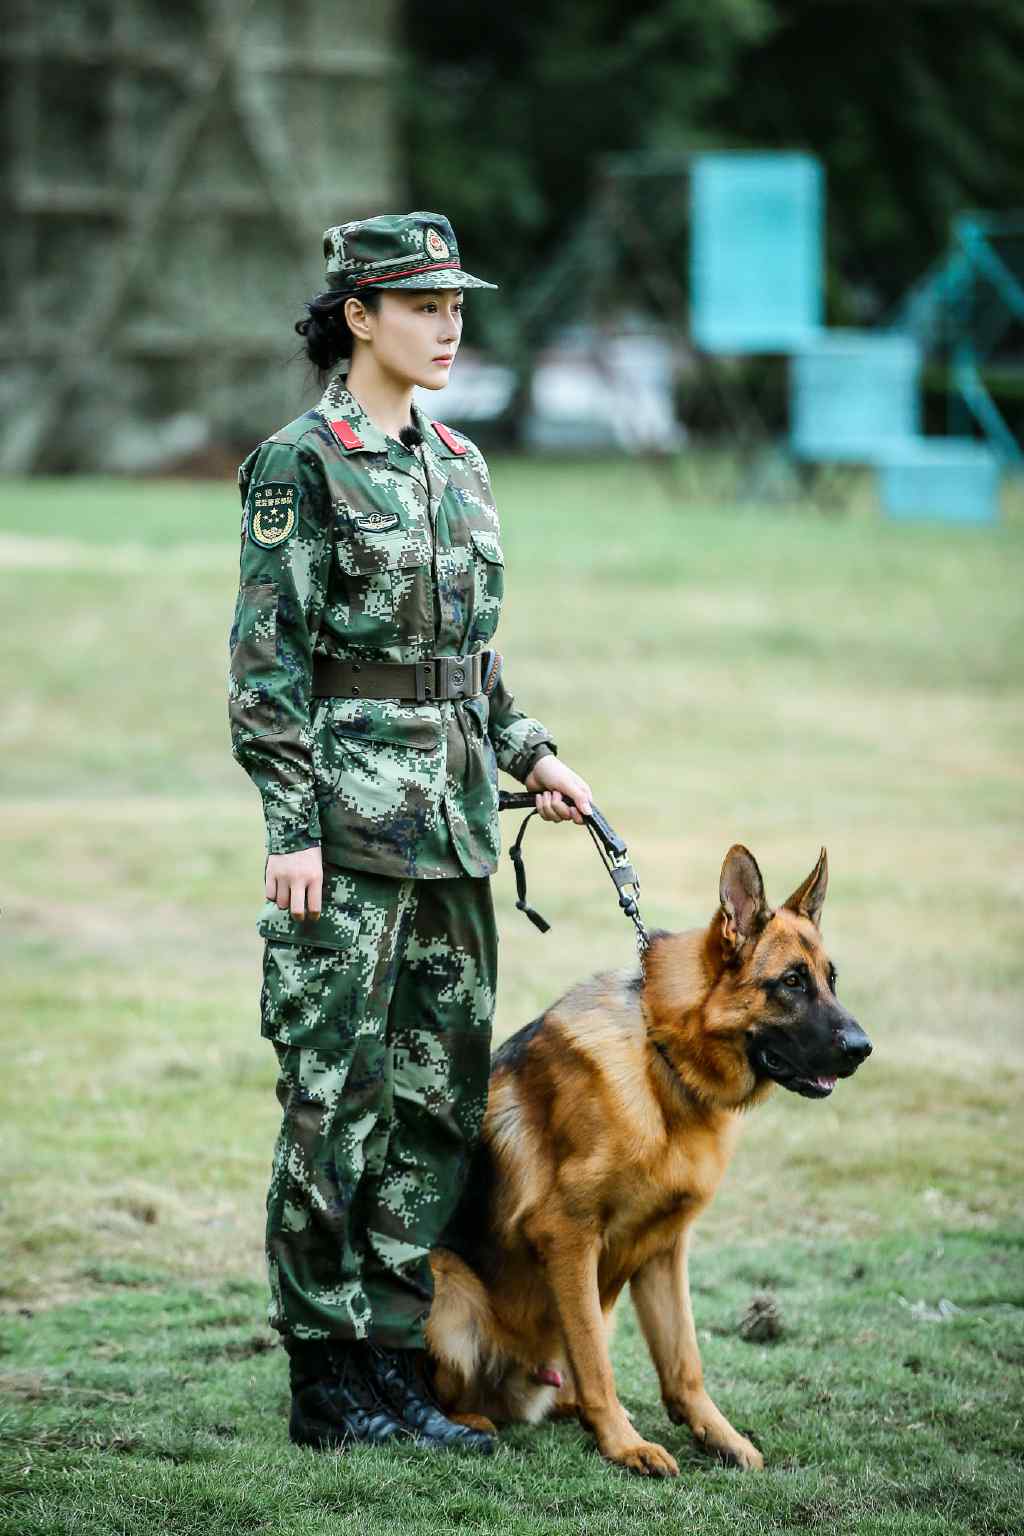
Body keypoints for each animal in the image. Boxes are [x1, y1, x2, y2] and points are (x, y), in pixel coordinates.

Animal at [426, 847, 872, 1468]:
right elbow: (594, 1359)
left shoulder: (665, 1248)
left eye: (831, 980)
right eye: (791, 982)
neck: (664, 1060)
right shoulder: (568, 1238)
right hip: (449, 1289)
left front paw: (719, 1437)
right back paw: (466, 1421)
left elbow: (683, 1362)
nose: (863, 1048)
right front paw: (623, 1445)